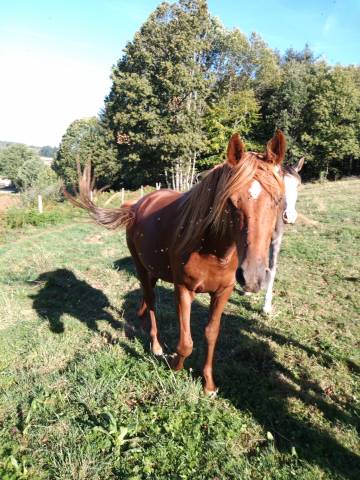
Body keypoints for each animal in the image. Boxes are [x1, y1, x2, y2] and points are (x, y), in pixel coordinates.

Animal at [67, 129, 286, 392]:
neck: (212, 247)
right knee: (151, 301)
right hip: (141, 267)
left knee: (147, 296)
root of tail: (136, 205)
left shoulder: (223, 291)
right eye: (231, 202)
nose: (253, 277)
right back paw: (156, 345)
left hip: (154, 269)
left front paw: (208, 384)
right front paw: (174, 366)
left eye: (278, 200)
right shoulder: (183, 289)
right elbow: (186, 343)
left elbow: (211, 334)